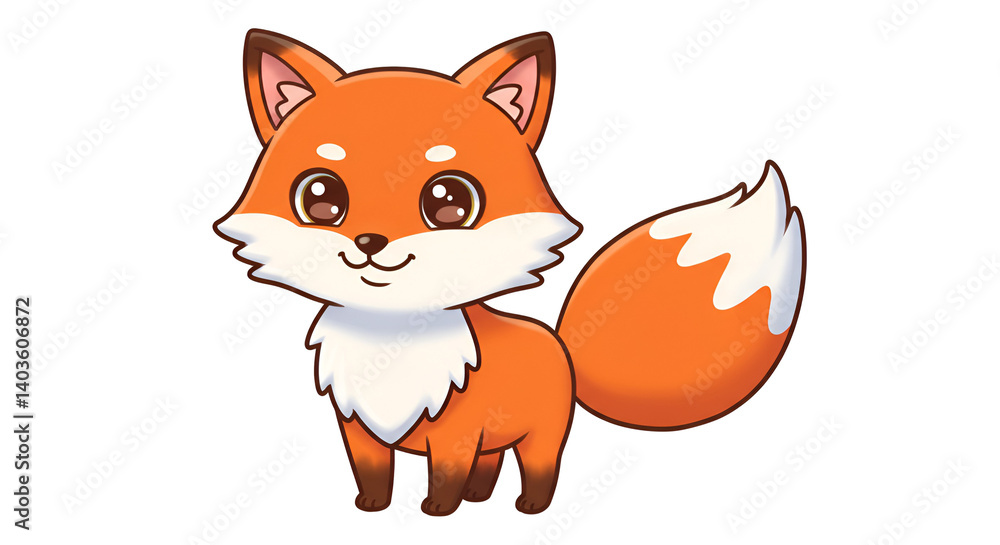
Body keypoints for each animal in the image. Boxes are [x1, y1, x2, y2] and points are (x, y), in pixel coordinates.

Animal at [214, 29, 806, 516]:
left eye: (450, 202)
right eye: (320, 197)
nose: (369, 242)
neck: (392, 343)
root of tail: (561, 344)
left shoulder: (454, 432)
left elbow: (445, 474)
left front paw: (437, 511)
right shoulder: (359, 429)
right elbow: (373, 473)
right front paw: (371, 507)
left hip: (540, 435)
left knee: (539, 469)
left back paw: (528, 508)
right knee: (491, 464)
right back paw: (482, 499)